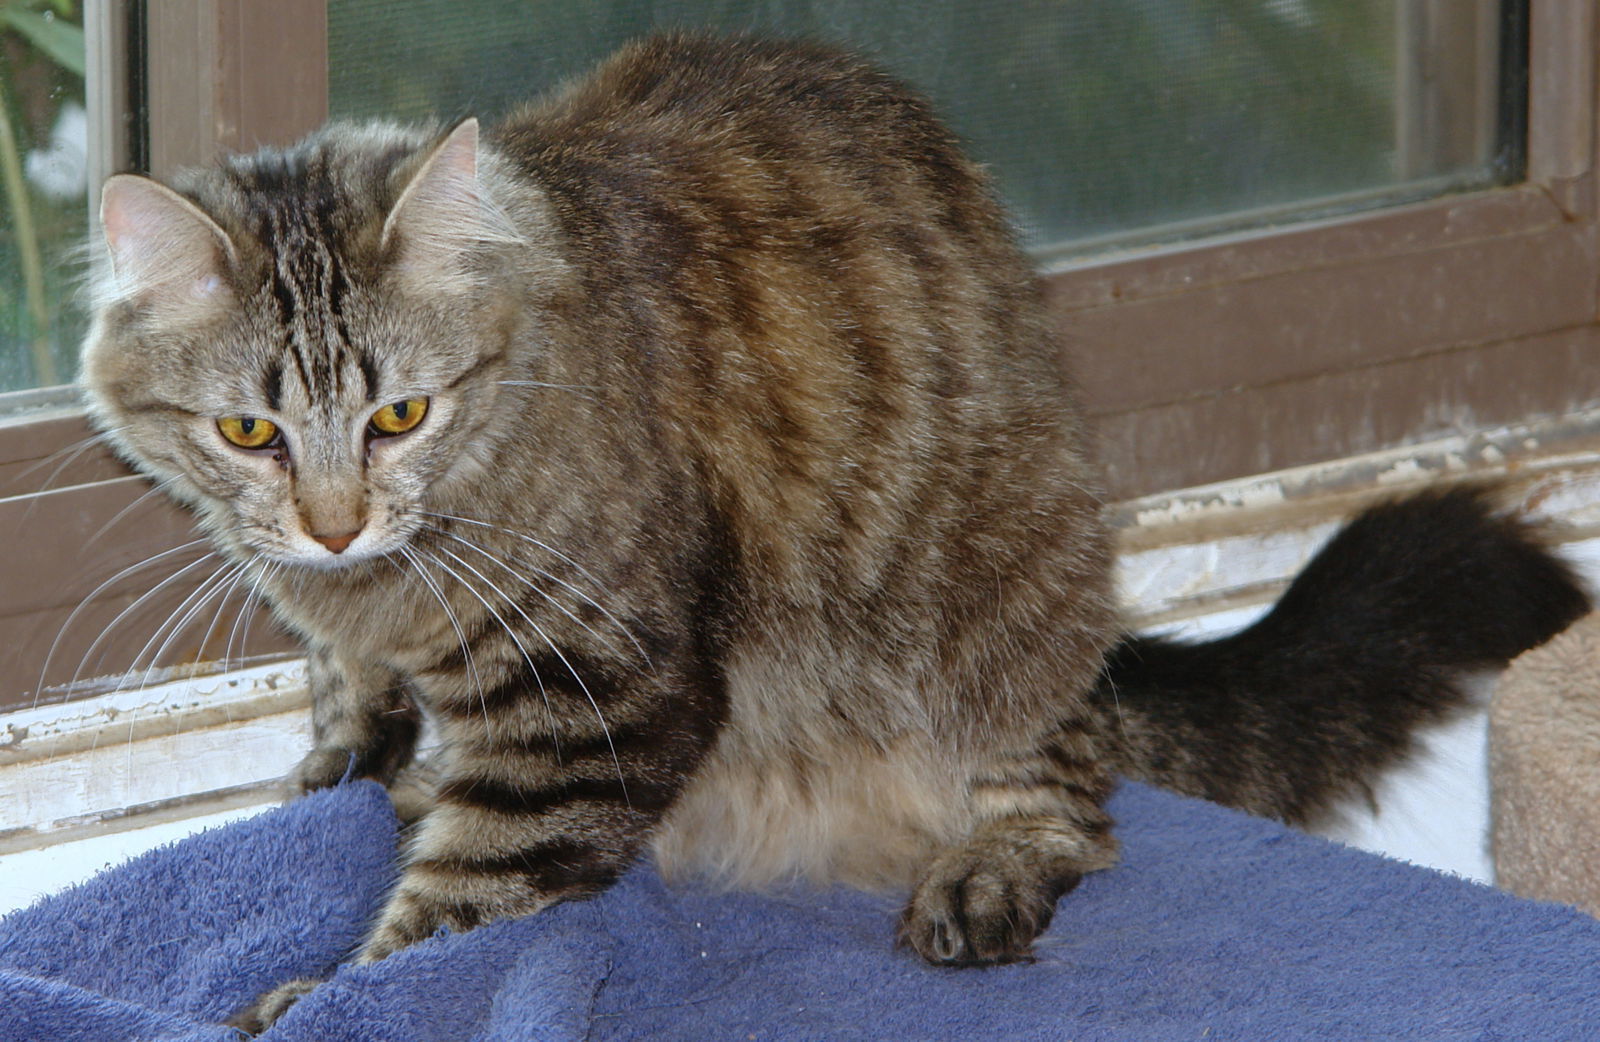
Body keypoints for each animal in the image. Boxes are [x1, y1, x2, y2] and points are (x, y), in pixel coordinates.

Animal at [78, 32, 1587, 1037]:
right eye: (250, 433)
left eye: (399, 412)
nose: (333, 525)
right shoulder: (350, 623)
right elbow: (350, 712)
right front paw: (342, 767)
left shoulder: (594, 693)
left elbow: (459, 901)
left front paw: (323, 991)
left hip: (996, 582)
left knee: (1071, 800)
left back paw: (984, 872)